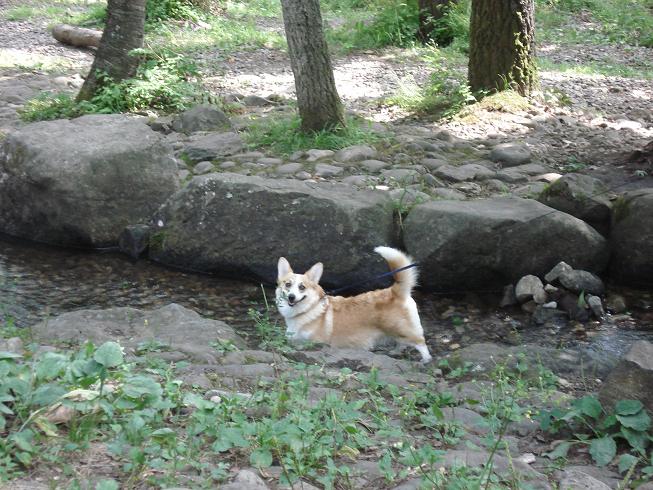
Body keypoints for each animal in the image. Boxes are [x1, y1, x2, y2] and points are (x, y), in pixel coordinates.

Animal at [274, 247, 430, 362]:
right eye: (288, 284)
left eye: (302, 287)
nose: (291, 297)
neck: (307, 310)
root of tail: (395, 291)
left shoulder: (316, 342)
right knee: (401, 343)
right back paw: (394, 352)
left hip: (401, 329)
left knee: (420, 342)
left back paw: (425, 361)